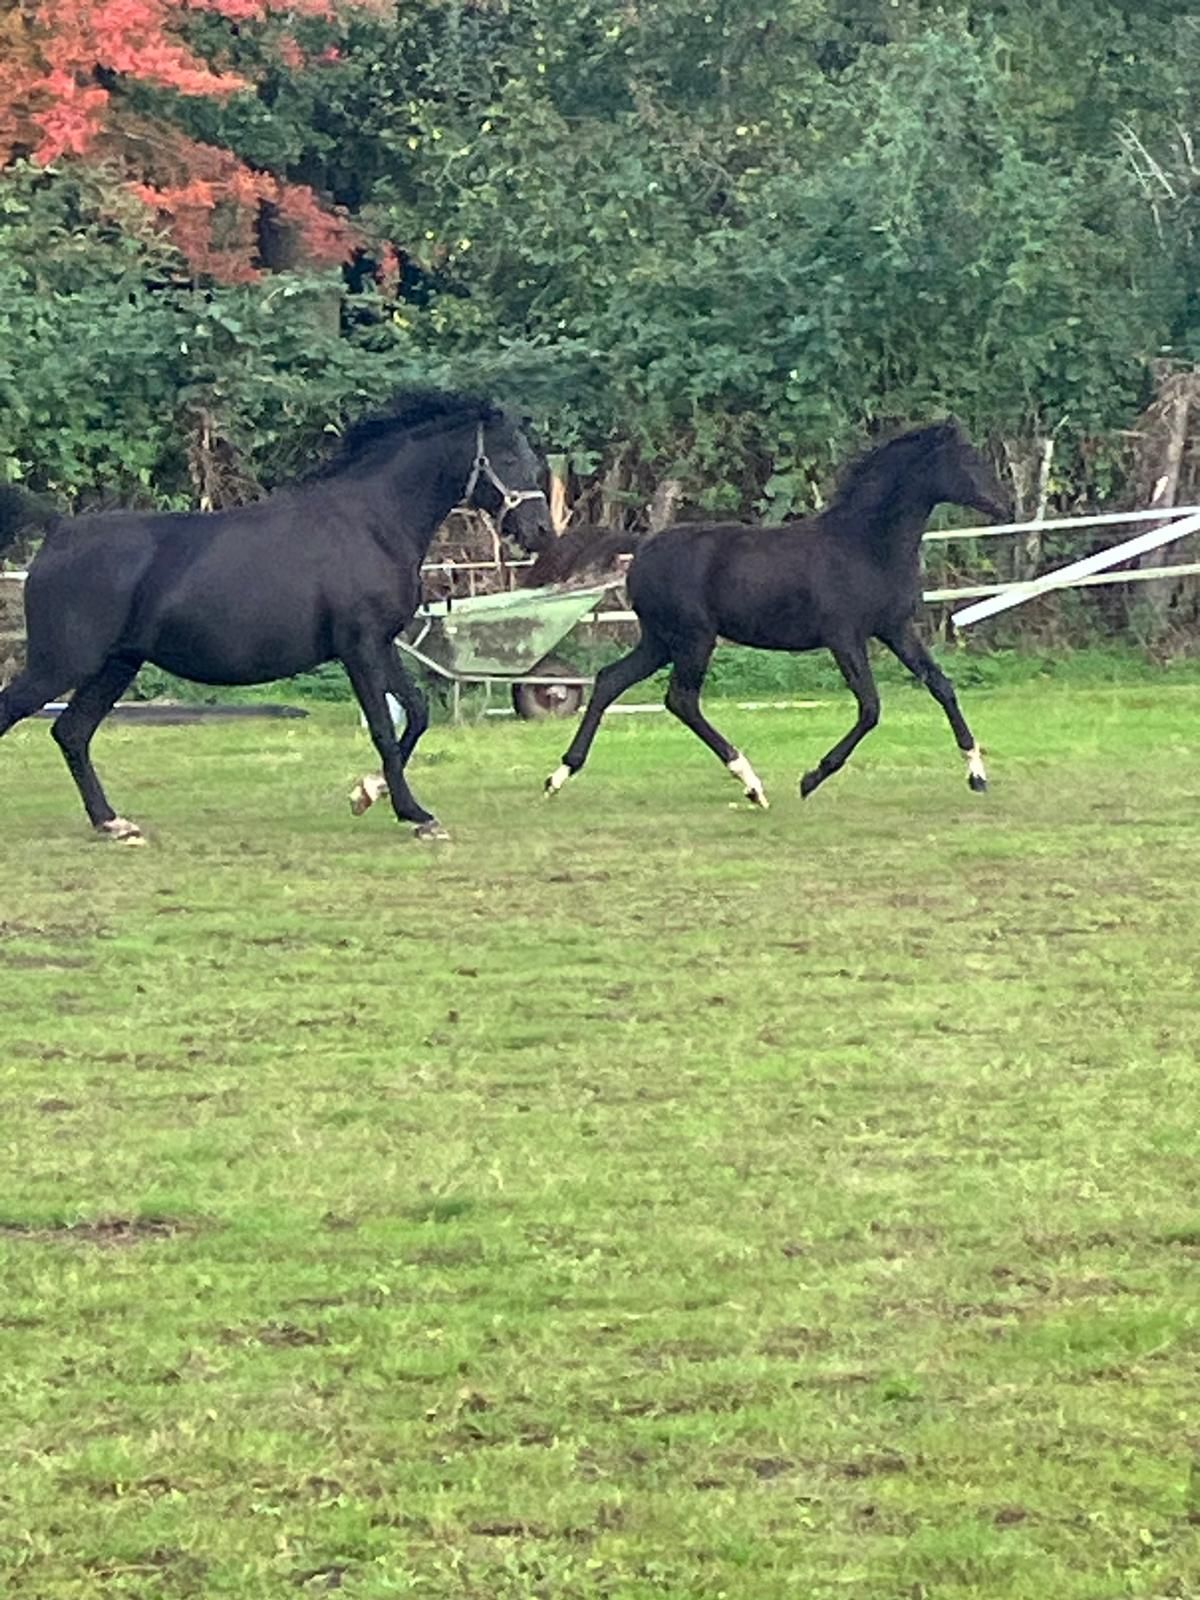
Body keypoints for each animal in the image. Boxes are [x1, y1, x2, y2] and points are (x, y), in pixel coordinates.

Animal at [0, 389, 552, 844]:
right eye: (507, 455)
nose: (541, 530)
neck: (370, 523)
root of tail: (59, 529)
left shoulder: (380, 643)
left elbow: (415, 715)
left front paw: (369, 793)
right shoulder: (358, 647)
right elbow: (382, 728)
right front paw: (413, 814)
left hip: (116, 665)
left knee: (71, 732)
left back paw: (112, 822)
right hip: (62, 664)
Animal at [544, 419, 1013, 810]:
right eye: (968, 459)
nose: (1005, 507)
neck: (865, 545)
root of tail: (641, 548)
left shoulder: (895, 629)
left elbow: (941, 685)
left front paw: (977, 774)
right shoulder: (844, 637)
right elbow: (870, 707)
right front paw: (811, 778)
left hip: (660, 641)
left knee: (610, 681)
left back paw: (559, 775)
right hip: (693, 639)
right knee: (680, 699)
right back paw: (751, 784)